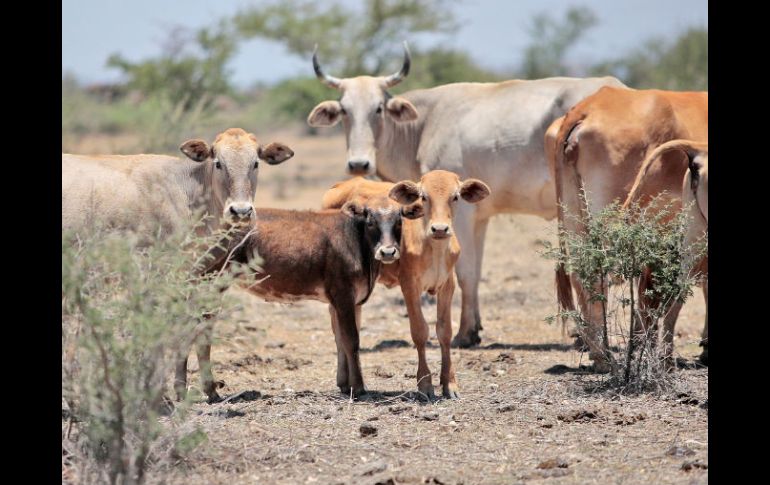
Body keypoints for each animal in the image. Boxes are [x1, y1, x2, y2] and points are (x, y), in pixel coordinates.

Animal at [306, 39, 624, 346]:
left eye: (378, 108)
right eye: (344, 110)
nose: (359, 163)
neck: (424, 124)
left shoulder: (462, 214)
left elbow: (466, 273)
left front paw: (466, 333)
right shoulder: (480, 217)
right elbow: (476, 271)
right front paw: (476, 326)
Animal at [320, 170, 488, 398]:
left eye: (455, 197)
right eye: (424, 197)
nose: (440, 229)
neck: (432, 248)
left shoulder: (448, 285)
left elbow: (444, 331)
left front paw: (450, 384)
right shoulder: (409, 285)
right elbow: (419, 331)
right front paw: (425, 384)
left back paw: (349, 381)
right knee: (338, 330)